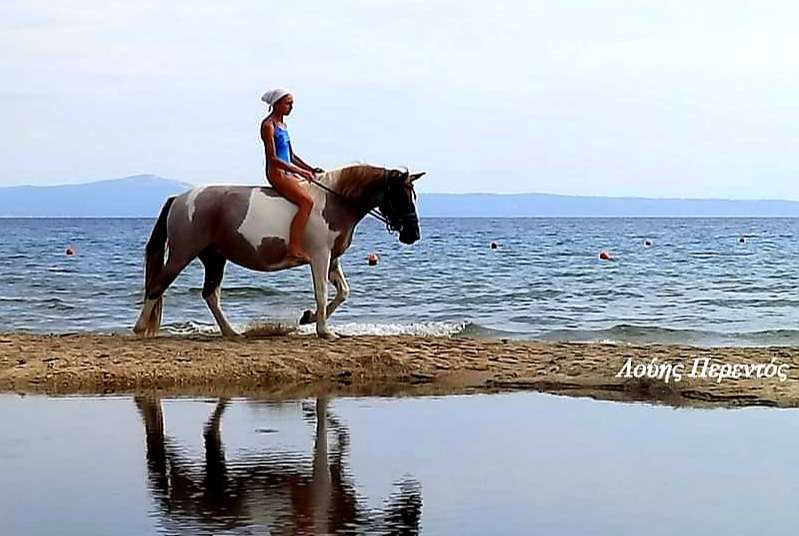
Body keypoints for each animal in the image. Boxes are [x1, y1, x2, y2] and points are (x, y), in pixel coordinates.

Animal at [131, 164, 424, 340]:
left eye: (414, 195)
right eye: (401, 195)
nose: (413, 234)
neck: (335, 201)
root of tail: (179, 199)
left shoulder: (332, 259)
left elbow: (343, 292)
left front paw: (309, 318)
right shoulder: (320, 256)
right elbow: (322, 293)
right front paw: (323, 330)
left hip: (215, 257)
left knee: (210, 294)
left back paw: (231, 332)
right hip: (183, 253)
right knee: (157, 286)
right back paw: (139, 328)